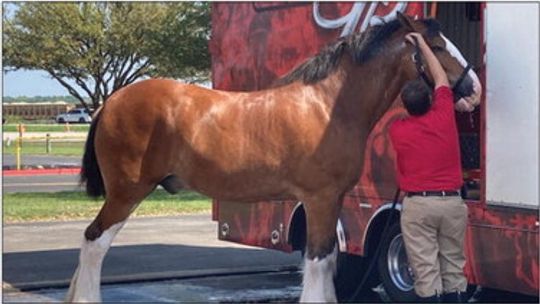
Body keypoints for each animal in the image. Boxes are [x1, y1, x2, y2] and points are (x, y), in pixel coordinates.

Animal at [67, 13, 480, 302]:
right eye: (436, 47)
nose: (474, 88)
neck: (329, 106)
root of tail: (110, 102)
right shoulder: (319, 198)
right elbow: (317, 261)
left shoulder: (333, 200)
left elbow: (327, 259)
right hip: (126, 192)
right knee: (94, 243)